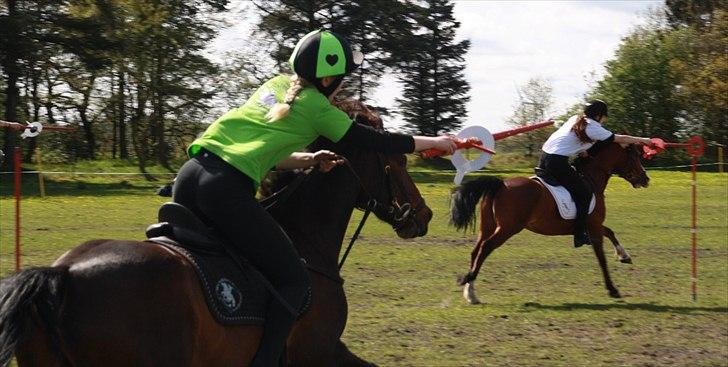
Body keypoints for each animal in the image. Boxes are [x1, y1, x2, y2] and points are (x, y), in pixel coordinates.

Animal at [452, 143, 652, 304]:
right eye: (634, 157)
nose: (646, 179)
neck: (591, 179)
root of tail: (501, 184)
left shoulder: (593, 225)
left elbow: (610, 231)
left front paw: (624, 255)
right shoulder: (594, 226)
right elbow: (601, 258)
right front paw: (612, 289)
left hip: (488, 227)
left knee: (476, 251)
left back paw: (471, 292)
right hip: (508, 228)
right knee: (486, 247)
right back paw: (469, 286)